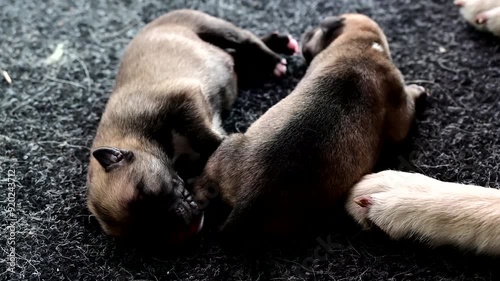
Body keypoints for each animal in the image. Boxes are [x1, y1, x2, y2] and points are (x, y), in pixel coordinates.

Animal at [86, 9, 298, 244]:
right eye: (149, 235)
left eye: (148, 191)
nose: (183, 223)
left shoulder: (185, 98)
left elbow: (203, 135)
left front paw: (225, 145)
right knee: (240, 57)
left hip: (209, 26)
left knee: (245, 41)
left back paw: (275, 56)